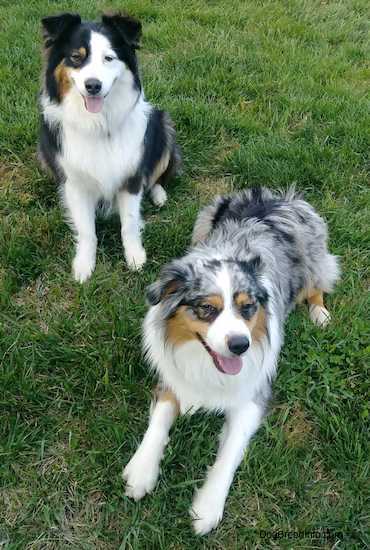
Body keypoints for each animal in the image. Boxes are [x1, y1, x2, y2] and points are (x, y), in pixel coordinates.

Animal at [39, 12, 179, 282]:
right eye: (76, 57)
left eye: (109, 58)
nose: (93, 85)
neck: (97, 124)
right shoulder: (75, 183)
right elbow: (86, 230)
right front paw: (84, 264)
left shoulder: (131, 176)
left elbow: (130, 223)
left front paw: (135, 257)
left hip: (162, 124)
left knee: (158, 175)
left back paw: (159, 194)